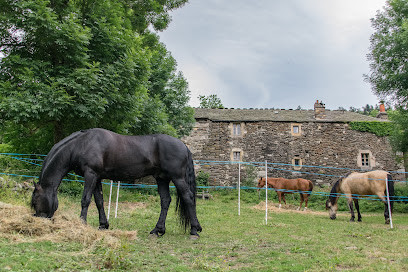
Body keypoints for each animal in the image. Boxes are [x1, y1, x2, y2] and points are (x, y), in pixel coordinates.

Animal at [31, 129, 202, 237]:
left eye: (35, 201)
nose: (38, 220)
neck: (82, 144)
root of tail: (184, 146)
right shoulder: (97, 177)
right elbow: (99, 201)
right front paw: (103, 225)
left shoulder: (90, 175)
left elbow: (85, 200)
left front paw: (82, 223)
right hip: (162, 179)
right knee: (165, 201)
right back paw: (157, 230)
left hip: (177, 178)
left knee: (188, 197)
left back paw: (194, 230)